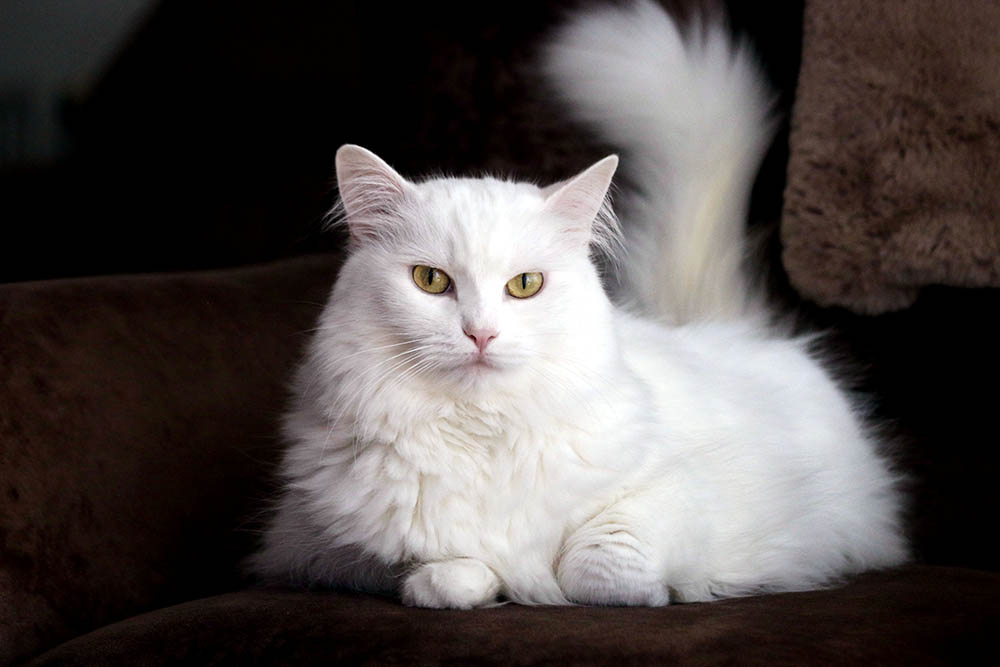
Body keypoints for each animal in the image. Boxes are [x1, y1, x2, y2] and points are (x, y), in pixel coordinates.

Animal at [248, 0, 908, 612]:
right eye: (431, 280)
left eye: (524, 285)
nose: (480, 334)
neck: (481, 436)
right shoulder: (312, 545)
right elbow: (441, 568)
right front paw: (467, 583)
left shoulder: (701, 493)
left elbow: (597, 564)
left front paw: (658, 592)